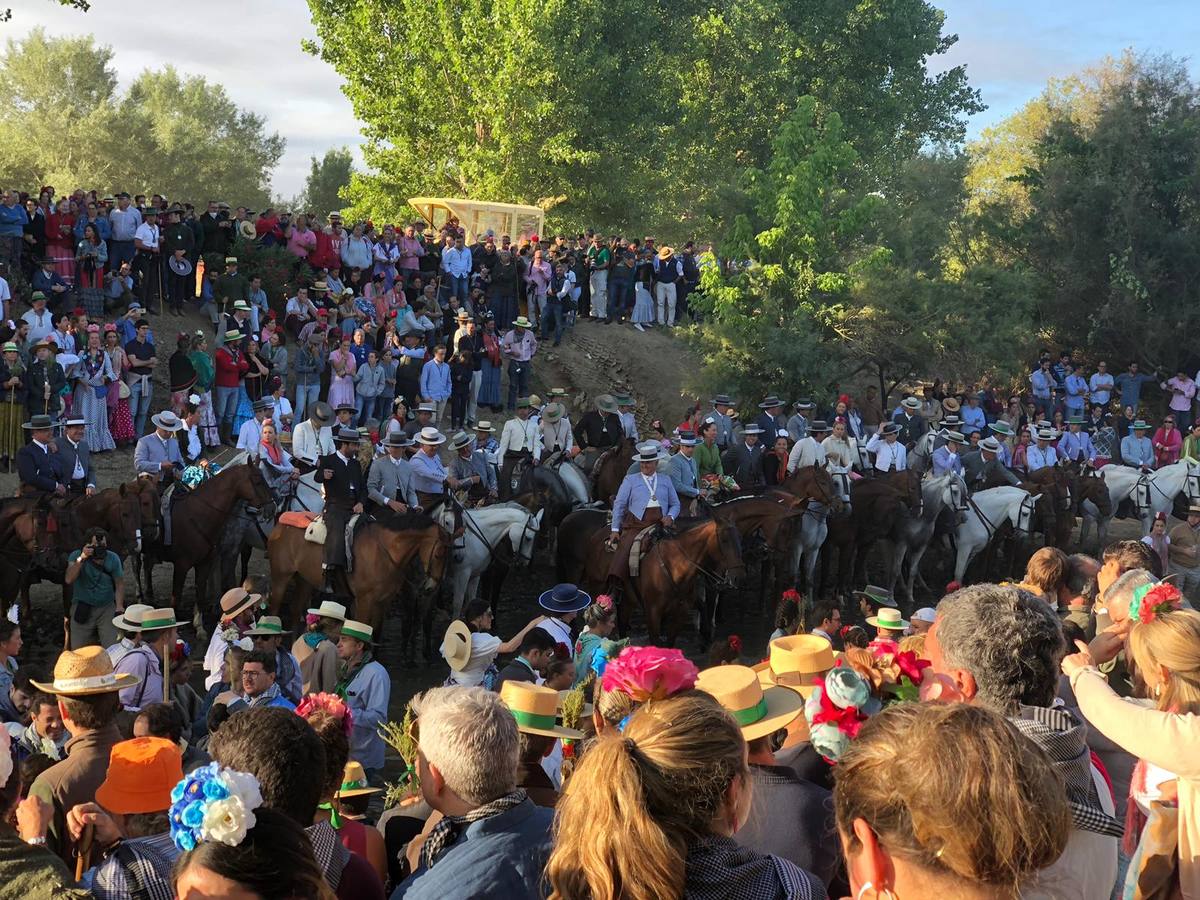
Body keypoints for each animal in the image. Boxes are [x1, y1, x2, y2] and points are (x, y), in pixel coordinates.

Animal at [265, 513, 448, 662]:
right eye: (438, 554)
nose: (431, 587)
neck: (383, 551)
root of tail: (280, 523)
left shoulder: (383, 602)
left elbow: (375, 631)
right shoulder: (364, 600)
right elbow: (360, 628)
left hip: (304, 581)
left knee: (296, 610)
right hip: (281, 578)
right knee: (274, 608)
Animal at [556, 508, 744, 648]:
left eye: (739, 538)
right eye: (724, 539)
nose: (737, 577)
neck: (674, 567)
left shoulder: (680, 612)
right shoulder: (653, 613)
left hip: (627, 599)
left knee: (622, 624)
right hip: (593, 582)